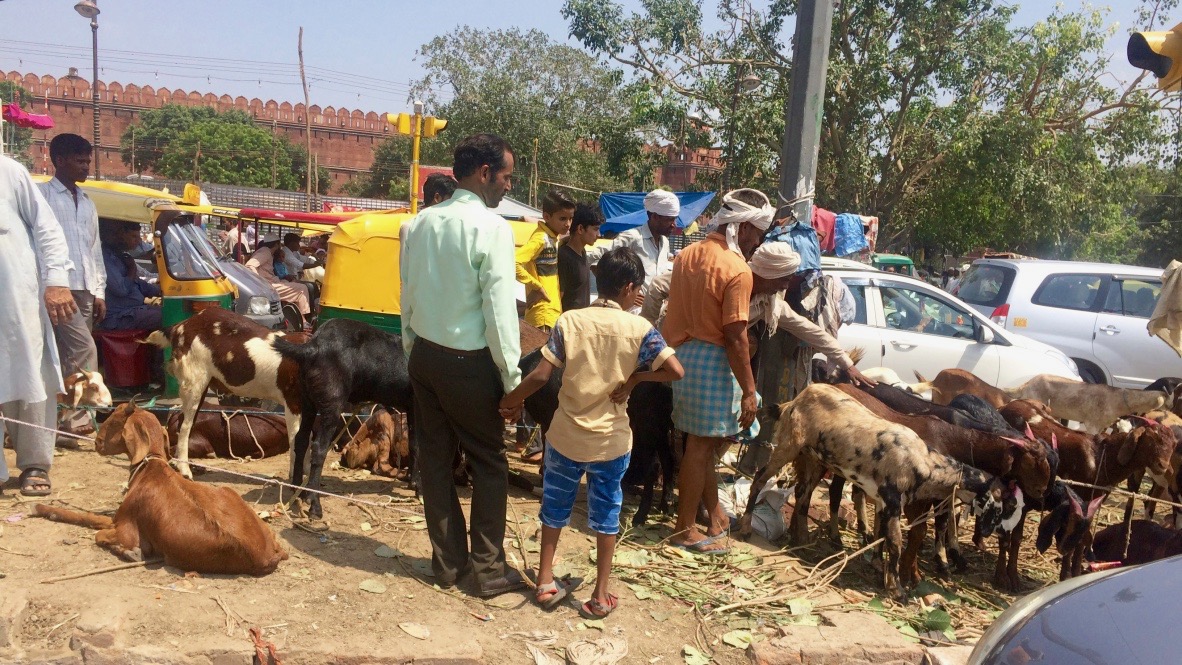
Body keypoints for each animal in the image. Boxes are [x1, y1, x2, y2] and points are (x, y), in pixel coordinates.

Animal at [33, 402, 287, 575]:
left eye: (114, 420)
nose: (97, 443)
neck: (151, 467)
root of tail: (270, 554)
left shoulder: (126, 527)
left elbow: (99, 532)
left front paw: (130, 552)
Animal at [145, 308, 308, 480]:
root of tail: (181, 326)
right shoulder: (293, 401)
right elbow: (297, 439)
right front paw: (295, 478)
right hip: (193, 382)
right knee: (185, 426)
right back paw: (185, 470)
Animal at [740, 384, 1013, 596]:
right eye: (1000, 505)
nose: (993, 533)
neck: (924, 463)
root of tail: (795, 399)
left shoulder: (883, 502)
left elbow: (881, 535)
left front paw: (879, 568)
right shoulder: (893, 501)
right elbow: (895, 543)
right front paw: (896, 589)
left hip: (813, 457)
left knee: (803, 494)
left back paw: (802, 540)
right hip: (788, 445)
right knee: (759, 478)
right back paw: (746, 527)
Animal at [1000, 399, 1176, 578]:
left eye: (1173, 445)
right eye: (1151, 439)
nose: (1163, 466)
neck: (1101, 458)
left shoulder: (1093, 503)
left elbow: (1082, 540)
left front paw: (1075, 573)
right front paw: (1066, 574)